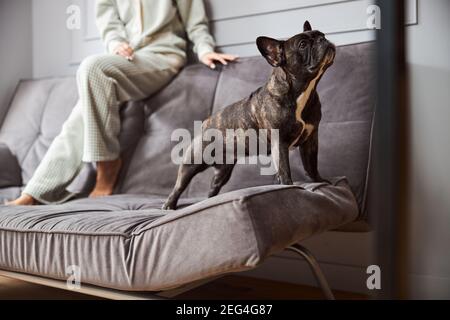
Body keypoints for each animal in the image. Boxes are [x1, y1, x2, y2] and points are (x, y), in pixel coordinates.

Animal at [163, 20, 336, 210]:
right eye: (303, 44)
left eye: (322, 34)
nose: (323, 39)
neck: (302, 92)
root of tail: (205, 123)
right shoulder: (280, 143)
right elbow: (285, 169)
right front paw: (290, 187)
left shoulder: (311, 139)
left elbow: (311, 165)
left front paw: (320, 181)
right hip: (193, 162)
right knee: (179, 185)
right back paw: (169, 205)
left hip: (223, 171)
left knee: (213, 186)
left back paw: (210, 201)